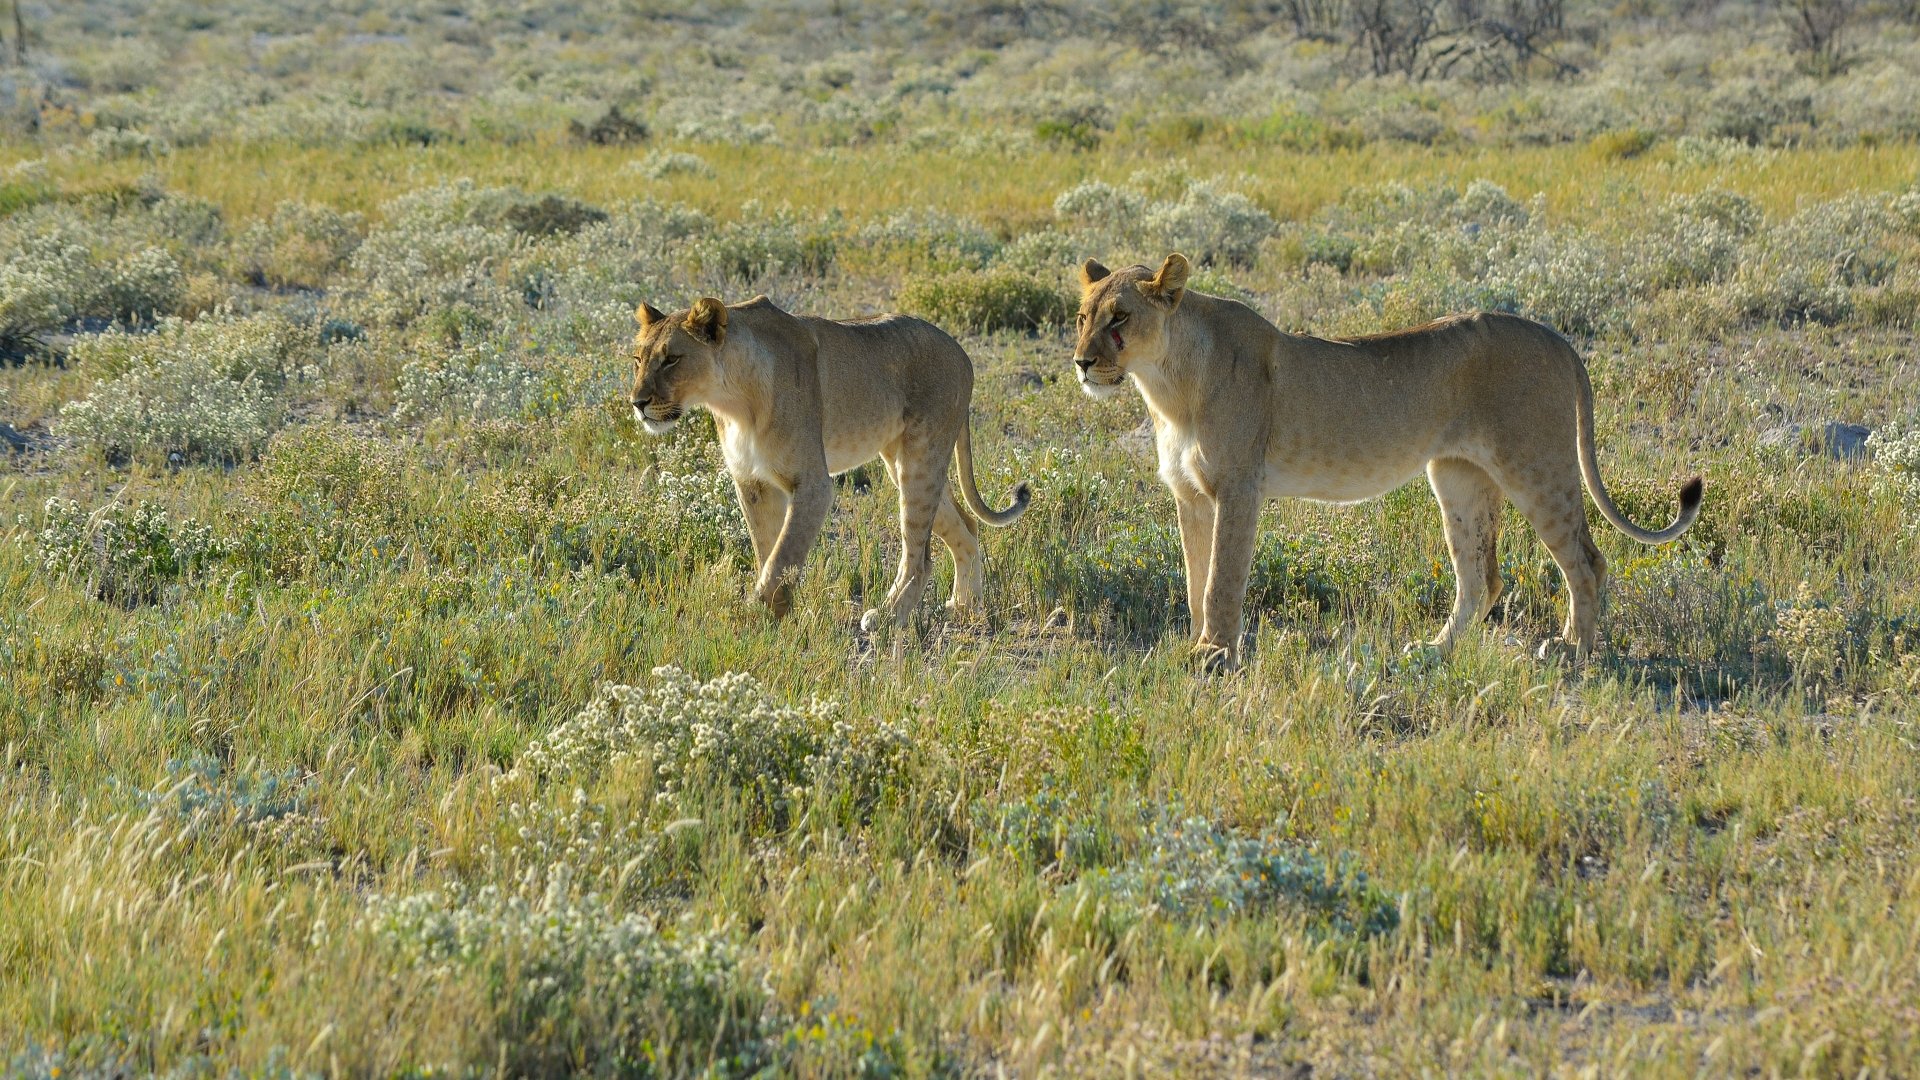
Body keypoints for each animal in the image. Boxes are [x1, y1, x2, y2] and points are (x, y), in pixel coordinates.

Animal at [628, 295, 1030, 629]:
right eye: (637, 360)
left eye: (672, 359)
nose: (637, 403)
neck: (732, 401)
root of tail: (961, 351)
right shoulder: (752, 483)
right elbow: (768, 550)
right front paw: (780, 612)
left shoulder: (813, 484)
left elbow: (782, 555)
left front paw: (762, 612)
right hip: (902, 461)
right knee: (966, 525)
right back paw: (965, 608)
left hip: (921, 459)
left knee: (920, 557)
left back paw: (888, 617)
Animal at [1072, 253, 1702, 670]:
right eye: (1082, 316)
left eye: (1120, 317)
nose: (1080, 362)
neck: (1166, 386)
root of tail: (1554, 335)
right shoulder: (1190, 494)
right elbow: (1193, 577)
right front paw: (1200, 644)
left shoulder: (1238, 488)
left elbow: (1220, 579)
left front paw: (1213, 656)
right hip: (1458, 478)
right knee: (1482, 577)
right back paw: (1433, 652)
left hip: (1536, 466)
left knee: (1586, 562)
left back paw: (1574, 652)